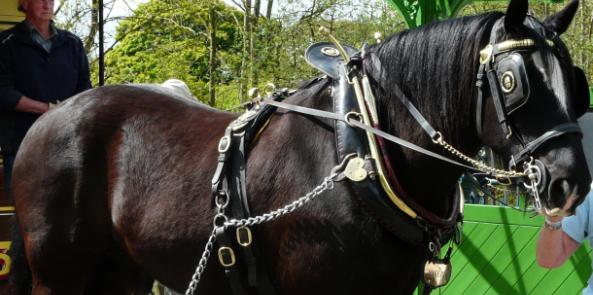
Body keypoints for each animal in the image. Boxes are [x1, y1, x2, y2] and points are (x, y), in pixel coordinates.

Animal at [5, 1, 592, 294]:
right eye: (513, 81)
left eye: (574, 78)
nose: (571, 181)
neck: (360, 153)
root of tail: (53, 113)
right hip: (58, 274)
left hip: (121, 272)